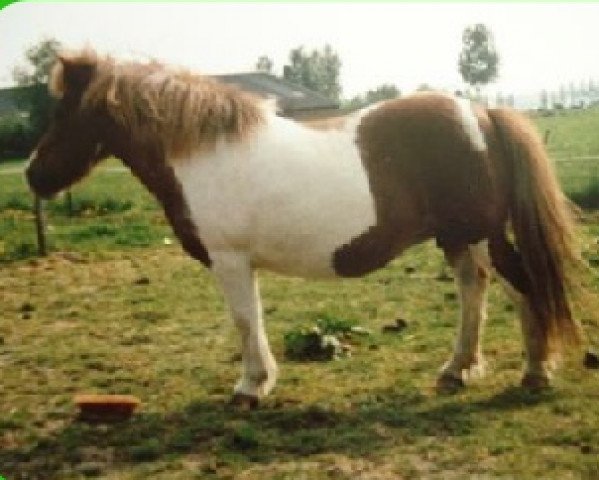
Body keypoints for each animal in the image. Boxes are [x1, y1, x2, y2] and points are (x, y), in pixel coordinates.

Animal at [24, 50, 580, 404]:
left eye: (66, 111)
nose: (33, 174)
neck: (203, 152)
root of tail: (482, 114)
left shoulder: (229, 260)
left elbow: (244, 321)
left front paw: (250, 387)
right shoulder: (240, 263)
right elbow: (253, 319)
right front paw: (261, 381)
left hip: (481, 233)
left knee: (522, 287)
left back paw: (535, 373)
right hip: (460, 238)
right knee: (475, 290)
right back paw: (457, 371)